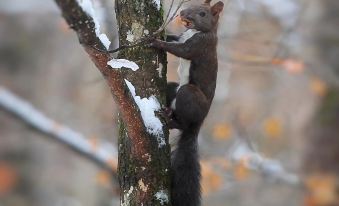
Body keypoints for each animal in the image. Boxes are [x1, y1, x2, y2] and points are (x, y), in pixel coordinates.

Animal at [153, 0, 224, 205]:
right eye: (191, 4)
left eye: (202, 13)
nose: (183, 13)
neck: (195, 31)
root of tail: (198, 123)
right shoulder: (182, 36)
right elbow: (175, 39)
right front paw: (159, 33)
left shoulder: (201, 45)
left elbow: (181, 50)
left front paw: (154, 41)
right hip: (173, 89)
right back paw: (169, 112)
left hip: (188, 95)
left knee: (183, 124)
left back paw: (170, 120)